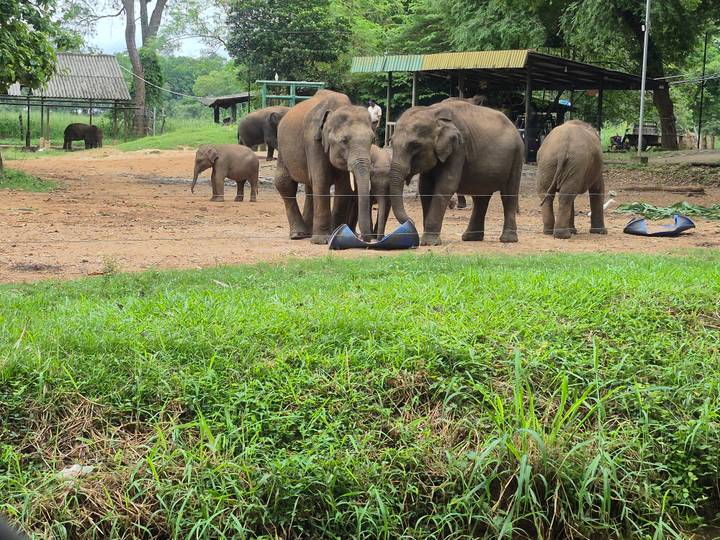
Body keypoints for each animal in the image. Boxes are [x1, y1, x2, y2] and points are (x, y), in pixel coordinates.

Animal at [274, 89, 375, 244]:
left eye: (373, 139)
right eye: (344, 140)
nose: (365, 240)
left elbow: (344, 187)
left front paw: (336, 235)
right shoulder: (312, 141)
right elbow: (322, 181)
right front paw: (321, 240)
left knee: (310, 187)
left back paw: (308, 232)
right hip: (282, 149)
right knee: (285, 183)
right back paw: (298, 235)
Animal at [388, 101, 524, 245]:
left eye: (414, 145)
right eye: (391, 142)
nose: (411, 221)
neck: (433, 112)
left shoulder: (459, 149)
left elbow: (446, 185)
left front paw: (429, 242)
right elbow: (425, 188)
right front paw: (427, 240)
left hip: (517, 156)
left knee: (508, 195)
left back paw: (508, 239)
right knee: (481, 198)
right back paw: (470, 238)